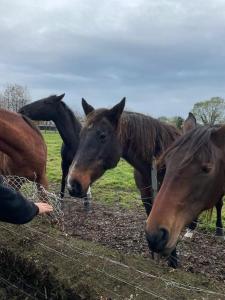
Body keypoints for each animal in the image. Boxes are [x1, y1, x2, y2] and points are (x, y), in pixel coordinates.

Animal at [67, 98, 181, 268]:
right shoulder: (147, 197)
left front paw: (173, 262)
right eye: (81, 135)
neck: (161, 162)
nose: (73, 184)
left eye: (102, 135)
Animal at [145, 124, 224, 258]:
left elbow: (219, 204)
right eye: (167, 162)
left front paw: (219, 231)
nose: (154, 236)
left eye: (207, 168)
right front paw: (191, 228)